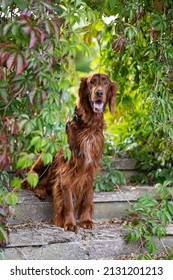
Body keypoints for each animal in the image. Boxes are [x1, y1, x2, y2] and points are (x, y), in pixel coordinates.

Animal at [22, 73, 117, 231]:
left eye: (105, 83)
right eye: (92, 82)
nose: (99, 93)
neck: (89, 127)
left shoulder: (90, 170)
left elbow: (86, 198)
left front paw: (86, 220)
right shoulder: (66, 170)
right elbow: (67, 202)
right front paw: (69, 223)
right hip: (47, 159)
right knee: (32, 181)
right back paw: (40, 190)